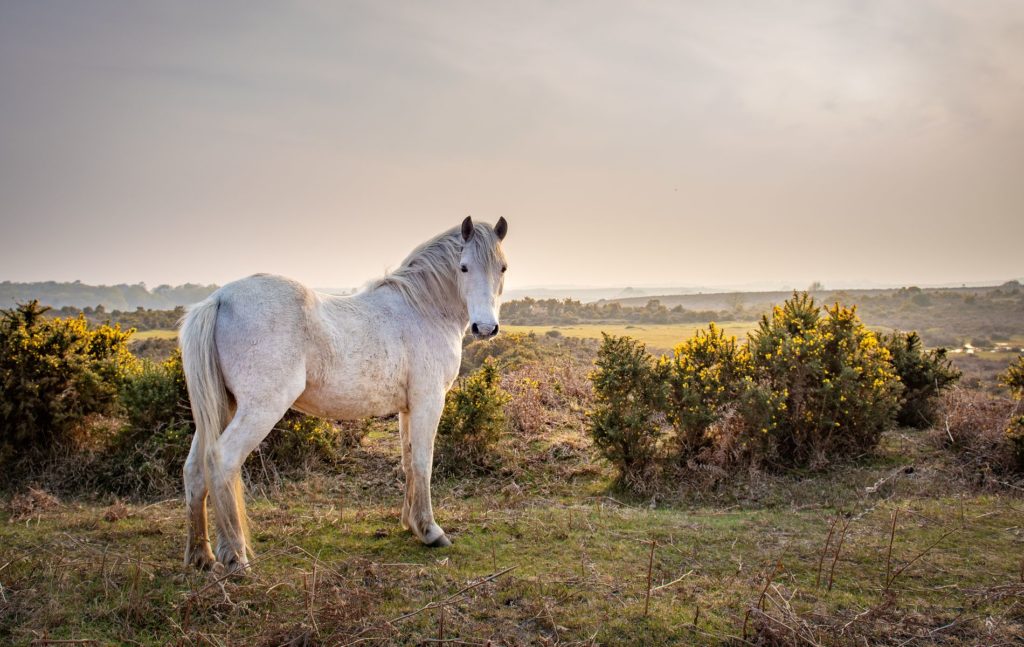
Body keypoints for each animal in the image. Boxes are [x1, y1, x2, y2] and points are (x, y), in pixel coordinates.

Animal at [181, 219, 512, 569]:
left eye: (502, 267)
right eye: (463, 267)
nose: (485, 328)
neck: (422, 309)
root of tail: (219, 299)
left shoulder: (407, 408)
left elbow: (409, 461)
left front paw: (411, 524)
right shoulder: (429, 401)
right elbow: (424, 461)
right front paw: (431, 531)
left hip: (223, 407)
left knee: (195, 470)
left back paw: (201, 556)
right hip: (260, 409)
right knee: (222, 460)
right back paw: (236, 558)